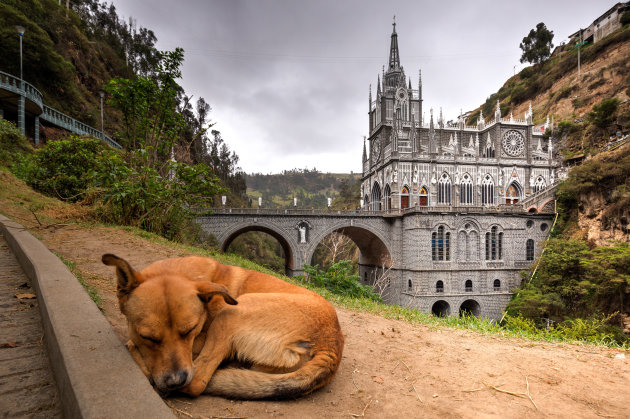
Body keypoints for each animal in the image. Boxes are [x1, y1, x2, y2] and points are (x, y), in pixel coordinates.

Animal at [102, 254, 346, 398]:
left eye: (190, 330)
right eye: (149, 337)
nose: (175, 381)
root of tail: (331, 345)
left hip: (231, 315)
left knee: (196, 384)